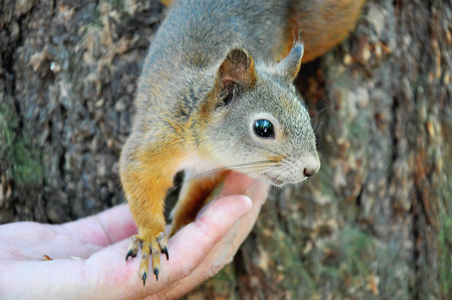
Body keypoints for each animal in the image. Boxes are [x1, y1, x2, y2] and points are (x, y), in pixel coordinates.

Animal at [119, 0, 364, 286]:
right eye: (263, 128)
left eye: (304, 113)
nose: (311, 169)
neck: (203, 148)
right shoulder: (156, 137)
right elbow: (140, 178)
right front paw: (150, 238)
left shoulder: (207, 170)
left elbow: (194, 197)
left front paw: (181, 223)